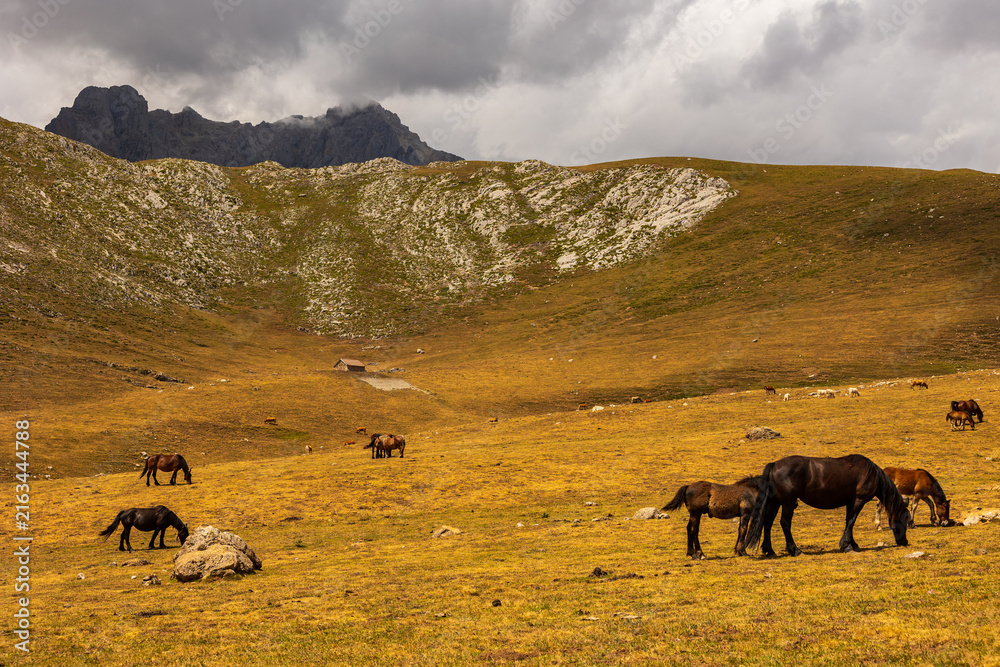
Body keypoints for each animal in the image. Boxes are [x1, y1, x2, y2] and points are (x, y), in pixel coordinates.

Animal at [744, 454, 909, 557]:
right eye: (906, 520)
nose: (904, 542)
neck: (870, 473)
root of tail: (774, 465)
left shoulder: (850, 502)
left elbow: (849, 522)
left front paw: (852, 543)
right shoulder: (858, 500)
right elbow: (851, 522)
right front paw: (847, 546)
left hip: (775, 502)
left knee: (767, 523)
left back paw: (770, 551)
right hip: (788, 503)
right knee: (785, 523)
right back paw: (795, 550)